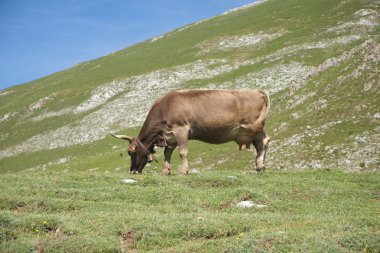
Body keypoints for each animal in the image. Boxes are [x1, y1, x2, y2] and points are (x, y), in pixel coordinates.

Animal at [110, 89, 270, 176]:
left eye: (131, 152)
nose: (132, 171)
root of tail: (258, 91)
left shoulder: (181, 129)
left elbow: (183, 152)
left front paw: (183, 171)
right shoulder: (171, 136)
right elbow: (167, 153)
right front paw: (166, 170)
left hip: (253, 126)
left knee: (262, 143)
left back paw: (260, 166)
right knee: (264, 141)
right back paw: (260, 166)